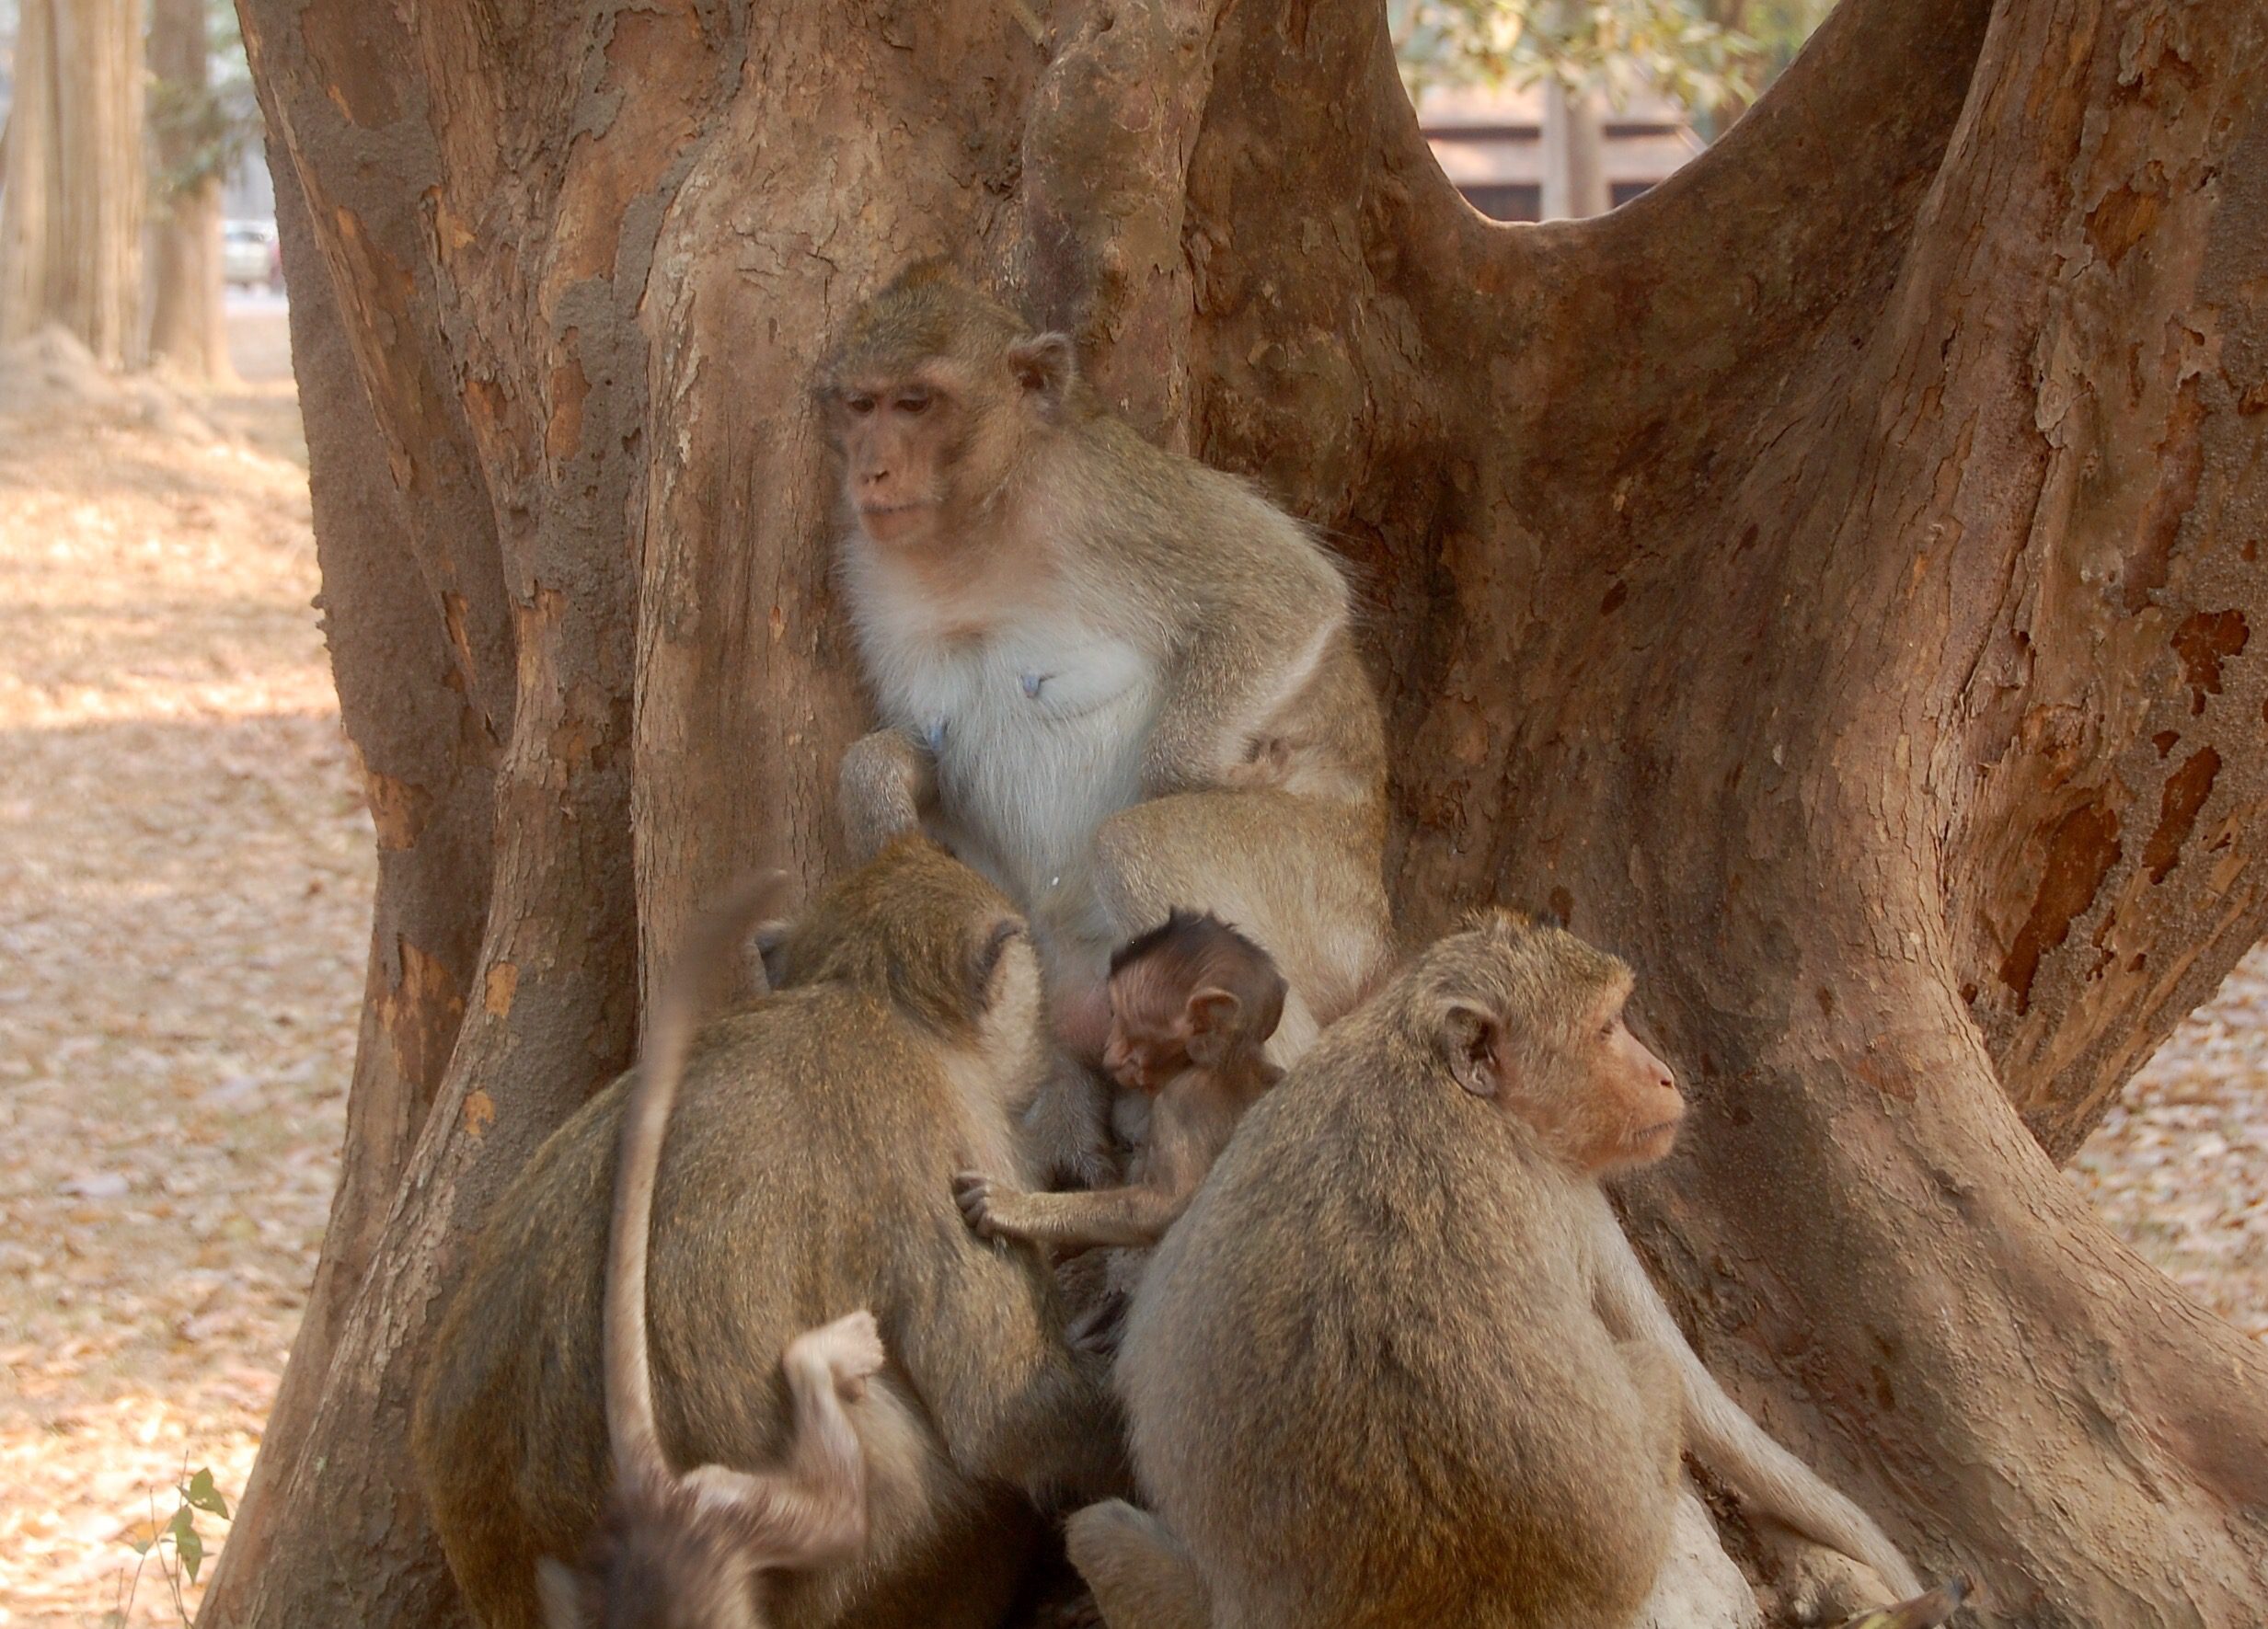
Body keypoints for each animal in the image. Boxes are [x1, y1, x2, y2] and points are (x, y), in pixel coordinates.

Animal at [822, 259, 1393, 1182]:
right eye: (859, 404)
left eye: (914, 403)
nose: (869, 473)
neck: (984, 521)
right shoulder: (871, 570)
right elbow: (918, 751)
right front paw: (874, 787)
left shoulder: (1105, 492)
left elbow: (1281, 593)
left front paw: (1193, 770)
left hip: (1337, 910)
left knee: (1138, 842)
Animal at [951, 911, 1285, 1350]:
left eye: (1121, 1020)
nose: (1108, 1049)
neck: (1226, 1062)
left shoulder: (1182, 1100)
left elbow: (1162, 1207)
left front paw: (1013, 1209)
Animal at [1066, 912, 1925, 1629]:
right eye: (1607, 1027)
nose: (1665, 1075)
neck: (1435, 1072)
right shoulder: (1567, 1198)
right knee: (1649, 1373)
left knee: (1092, 1531)